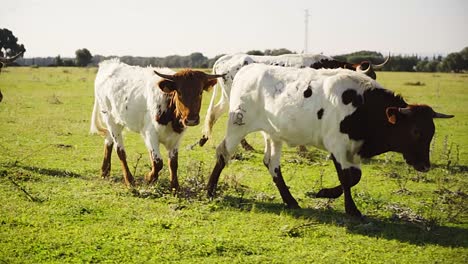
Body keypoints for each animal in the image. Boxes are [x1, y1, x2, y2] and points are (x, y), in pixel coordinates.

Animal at [91, 59, 225, 188]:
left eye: (200, 93)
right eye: (179, 92)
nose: (191, 119)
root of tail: (108, 64)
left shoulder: (177, 138)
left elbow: (173, 163)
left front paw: (175, 187)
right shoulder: (150, 134)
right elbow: (158, 162)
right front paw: (149, 178)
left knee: (108, 140)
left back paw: (105, 172)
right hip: (110, 118)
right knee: (120, 150)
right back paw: (129, 180)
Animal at [206, 64, 454, 217]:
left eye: (431, 132)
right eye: (416, 131)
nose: (425, 165)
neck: (363, 106)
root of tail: (247, 69)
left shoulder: (354, 149)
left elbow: (354, 177)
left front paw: (324, 193)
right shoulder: (338, 145)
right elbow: (348, 177)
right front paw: (349, 208)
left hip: (274, 134)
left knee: (272, 164)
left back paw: (290, 200)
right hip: (238, 124)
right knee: (223, 153)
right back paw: (210, 189)